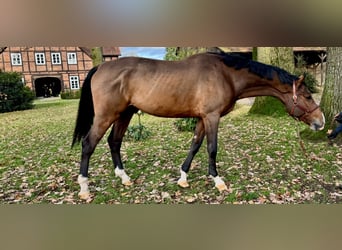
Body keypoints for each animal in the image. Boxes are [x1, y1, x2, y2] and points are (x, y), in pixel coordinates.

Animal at [73, 51, 326, 200]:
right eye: (307, 96)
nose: (321, 122)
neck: (225, 74)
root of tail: (100, 68)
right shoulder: (212, 117)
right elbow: (211, 148)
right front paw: (218, 181)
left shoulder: (202, 118)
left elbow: (195, 145)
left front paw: (183, 177)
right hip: (106, 115)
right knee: (88, 144)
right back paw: (84, 188)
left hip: (125, 113)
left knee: (114, 141)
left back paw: (124, 178)